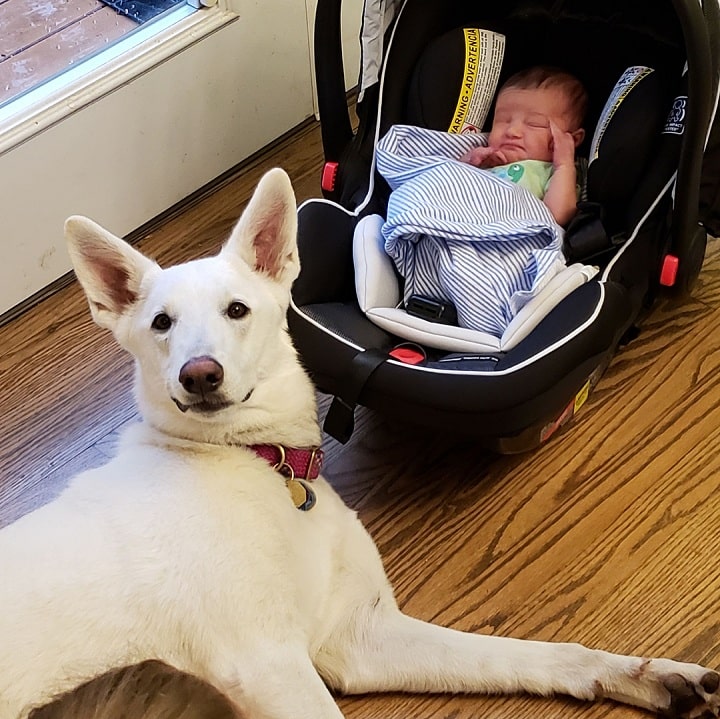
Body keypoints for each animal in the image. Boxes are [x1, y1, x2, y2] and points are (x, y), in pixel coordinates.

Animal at [1, 170, 720, 719]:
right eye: (160, 324)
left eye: (237, 310)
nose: (199, 375)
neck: (263, 466)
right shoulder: (266, 664)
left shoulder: (360, 634)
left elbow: (533, 653)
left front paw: (646, 674)